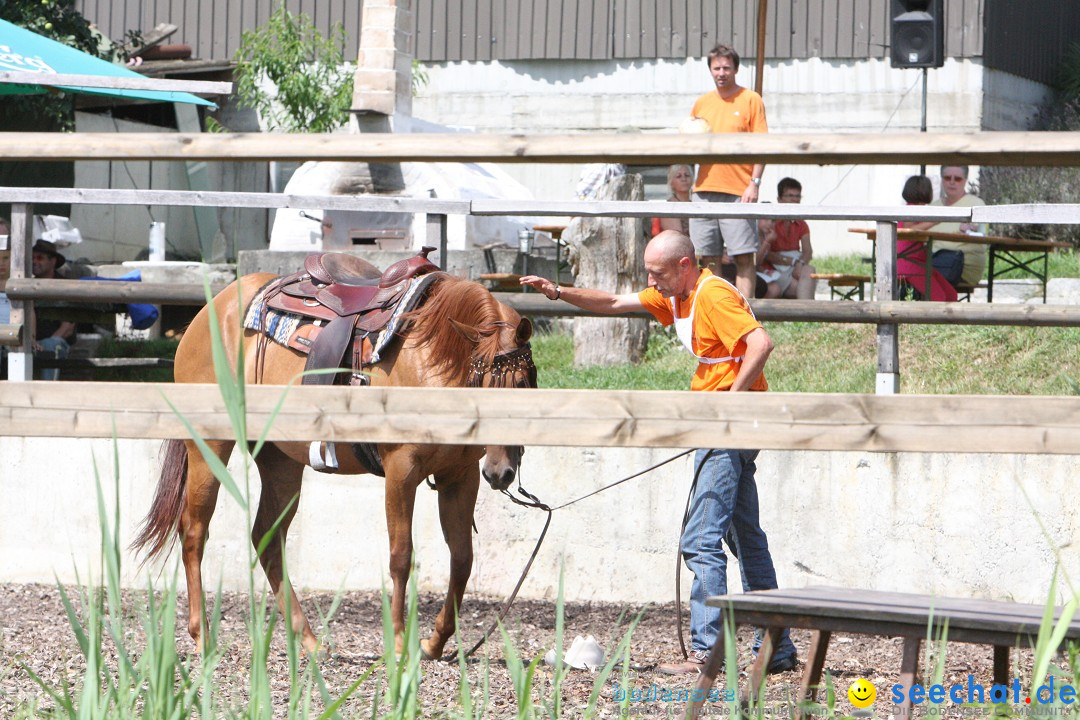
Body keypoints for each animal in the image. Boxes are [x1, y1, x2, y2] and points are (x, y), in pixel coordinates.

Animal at [132, 269, 537, 660]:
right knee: (194, 531)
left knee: (266, 538)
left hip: (280, 461)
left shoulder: (460, 478)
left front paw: (434, 644)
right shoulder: (401, 470)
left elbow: (463, 559)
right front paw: (399, 644)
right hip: (209, 446)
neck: (431, 356)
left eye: (523, 385)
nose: (501, 473)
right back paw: (202, 637)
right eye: (483, 384)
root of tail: (208, 313)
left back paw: (309, 642)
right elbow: (401, 556)